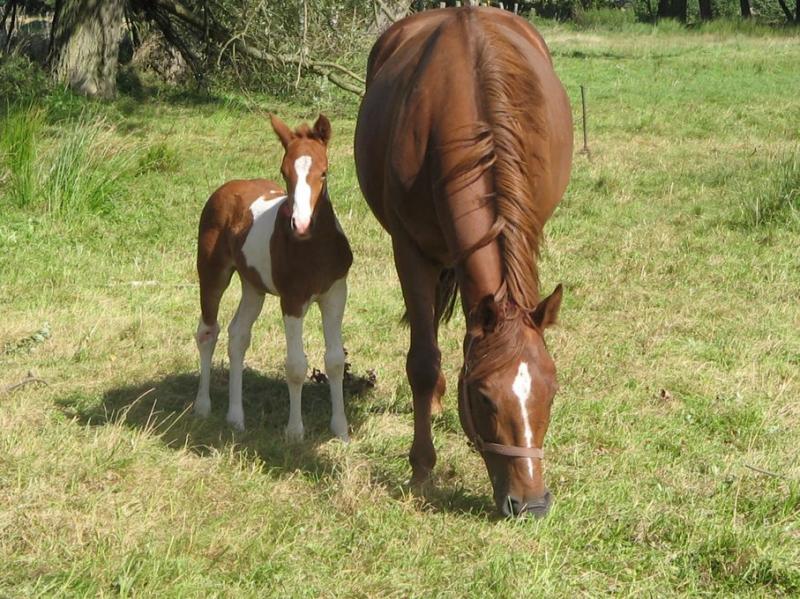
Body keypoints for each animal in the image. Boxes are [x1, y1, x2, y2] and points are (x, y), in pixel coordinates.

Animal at [354, 7, 572, 516]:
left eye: (551, 390)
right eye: (484, 398)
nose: (532, 504)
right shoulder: (409, 251)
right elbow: (423, 359)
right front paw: (421, 467)